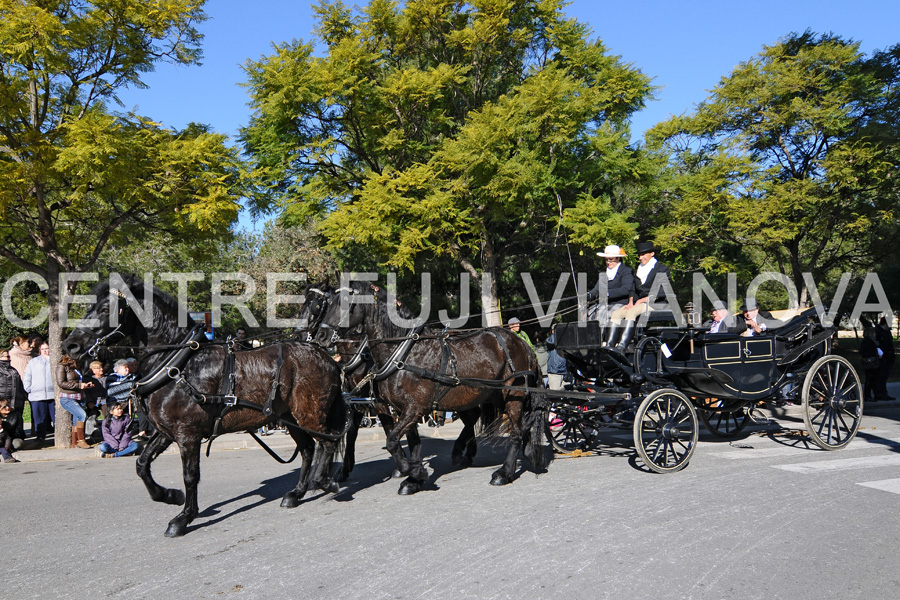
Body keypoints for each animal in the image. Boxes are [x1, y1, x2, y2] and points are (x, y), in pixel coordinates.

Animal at [65, 278, 346, 536]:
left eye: (106, 309)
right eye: (89, 305)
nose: (71, 345)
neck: (178, 366)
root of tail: (326, 357)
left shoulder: (187, 434)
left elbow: (190, 476)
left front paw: (183, 518)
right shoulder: (167, 432)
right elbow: (142, 464)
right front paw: (170, 496)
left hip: (309, 414)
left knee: (328, 441)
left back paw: (325, 482)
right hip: (290, 417)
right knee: (309, 448)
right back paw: (297, 493)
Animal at [310, 280, 548, 492]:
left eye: (343, 303)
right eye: (327, 304)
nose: (320, 335)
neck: (402, 352)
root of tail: (522, 343)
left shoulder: (415, 408)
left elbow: (392, 439)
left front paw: (413, 471)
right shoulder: (402, 410)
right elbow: (411, 442)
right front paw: (413, 479)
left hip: (512, 394)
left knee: (516, 431)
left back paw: (504, 472)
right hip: (490, 395)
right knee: (507, 423)